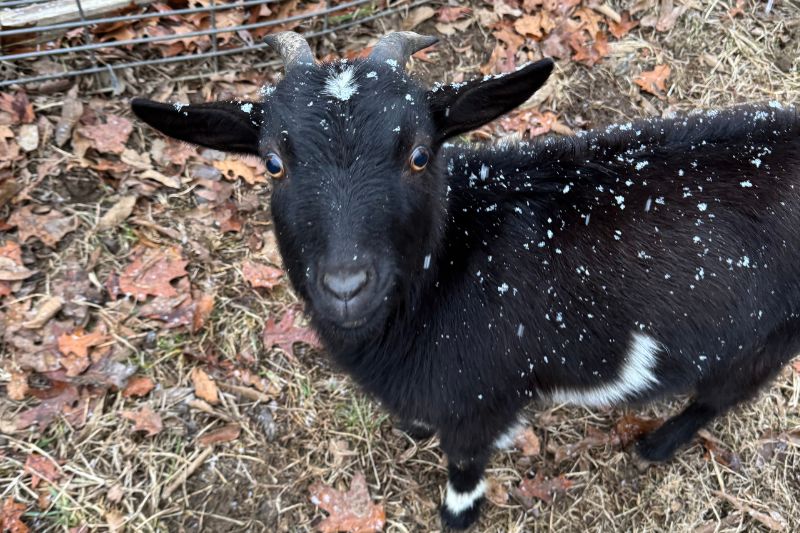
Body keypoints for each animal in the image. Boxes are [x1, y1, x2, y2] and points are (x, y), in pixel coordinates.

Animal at [131, 31, 800, 530]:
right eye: (273, 162)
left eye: (419, 153)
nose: (347, 287)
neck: (448, 270)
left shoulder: (483, 399)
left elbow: (465, 462)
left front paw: (458, 513)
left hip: (768, 338)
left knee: (721, 395)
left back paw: (656, 446)